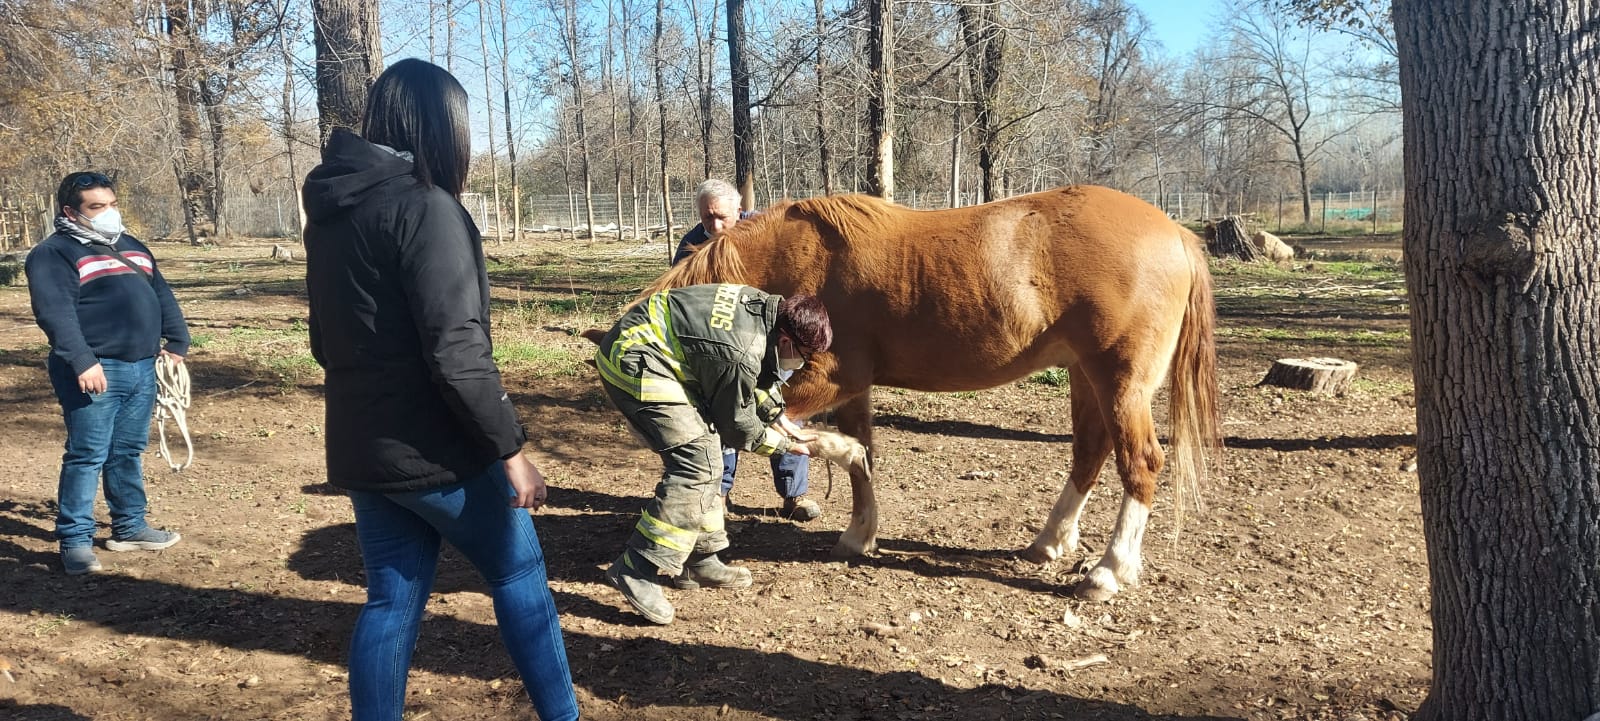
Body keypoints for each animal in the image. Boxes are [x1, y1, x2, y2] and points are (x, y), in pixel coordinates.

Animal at [630, 184, 1216, 597]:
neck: (793, 262)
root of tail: (1176, 234)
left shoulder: (831, 377)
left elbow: (769, 430)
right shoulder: (851, 387)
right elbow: (861, 454)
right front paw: (858, 534)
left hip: (1120, 382)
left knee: (1140, 462)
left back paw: (1108, 572)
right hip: (1083, 375)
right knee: (1090, 453)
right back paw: (1049, 542)